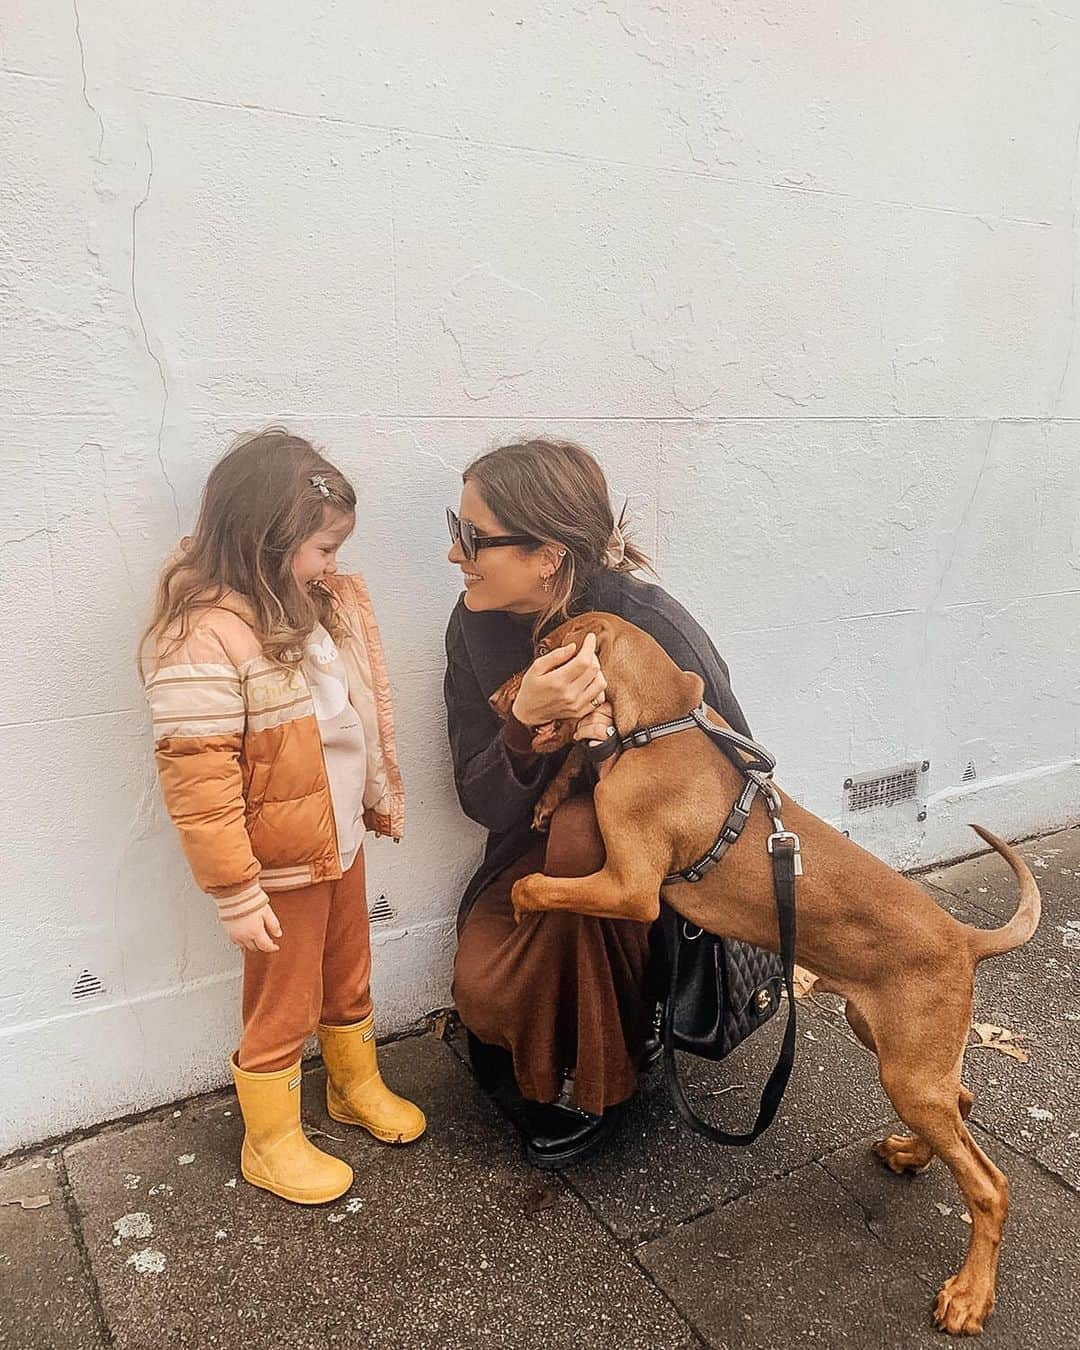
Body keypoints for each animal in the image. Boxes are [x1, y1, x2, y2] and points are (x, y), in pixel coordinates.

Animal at [496, 615, 1036, 1339]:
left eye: (538, 652)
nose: (497, 704)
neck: (659, 725)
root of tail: (966, 938)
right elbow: (581, 758)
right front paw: (555, 789)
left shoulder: (629, 888)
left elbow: (535, 882)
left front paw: (521, 905)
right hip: (896, 1049)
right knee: (964, 1103)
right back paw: (912, 1155)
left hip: (909, 1070)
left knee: (988, 1185)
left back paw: (970, 1295)